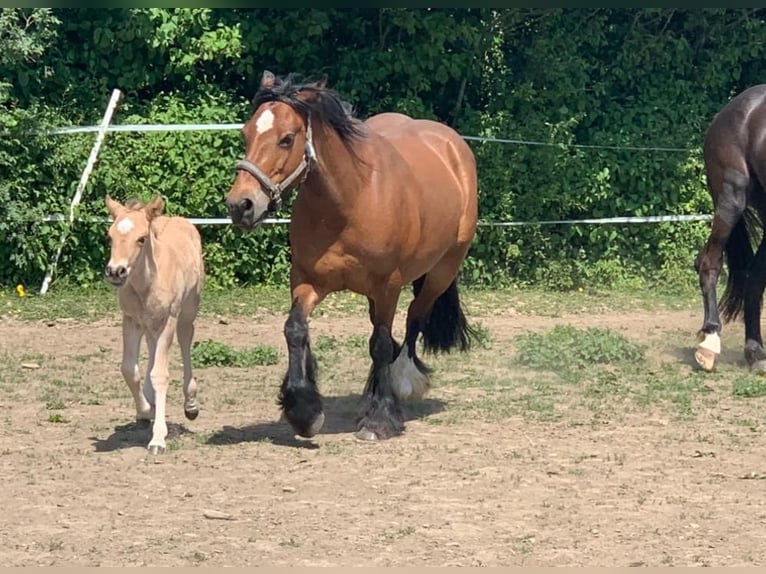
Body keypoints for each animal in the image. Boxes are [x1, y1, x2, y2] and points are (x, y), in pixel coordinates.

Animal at [106, 196, 207, 456]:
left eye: (141, 238)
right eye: (109, 236)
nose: (116, 271)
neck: (147, 282)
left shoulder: (168, 320)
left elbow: (160, 374)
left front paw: (158, 439)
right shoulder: (131, 320)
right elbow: (129, 369)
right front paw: (145, 410)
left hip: (186, 312)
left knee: (185, 338)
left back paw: (191, 404)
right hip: (150, 324)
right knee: (152, 351)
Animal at [224, 71, 480, 440]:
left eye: (287, 139)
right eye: (246, 133)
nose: (240, 205)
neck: (349, 201)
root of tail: (451, 144)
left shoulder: (388, 285)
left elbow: (382, 343)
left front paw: (379, 420)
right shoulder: (307, 279)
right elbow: (295, 330)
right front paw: (304, 412)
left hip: (441, 272)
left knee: (414, 318)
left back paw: (402, 385)